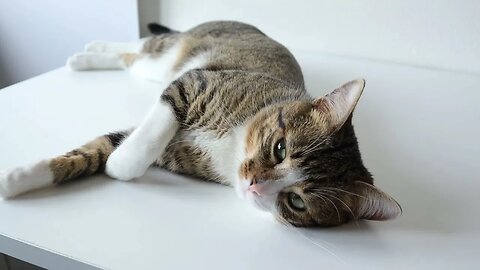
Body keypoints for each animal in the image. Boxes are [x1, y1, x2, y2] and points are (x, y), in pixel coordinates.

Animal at [0, 21, 402, 227]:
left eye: (297, 202)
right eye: (280, 148)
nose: (254, 184)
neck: (234, 144)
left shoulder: (179, 154)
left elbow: (90, 153)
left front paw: (19, 180)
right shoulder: (196, 83)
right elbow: (150, 129)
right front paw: (124, 162)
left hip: (154, 69)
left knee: (134, 60)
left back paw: (89, 56)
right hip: (178, 52)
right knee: (144, 45)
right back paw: (92, 50)